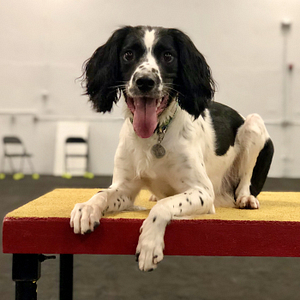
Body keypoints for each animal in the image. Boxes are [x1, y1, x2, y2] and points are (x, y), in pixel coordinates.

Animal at [70, 26, 274, 272]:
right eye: (128, 54)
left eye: (168, 56)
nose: (145, 81)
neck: (155, 135)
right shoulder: (124, 189)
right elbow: (102, 193)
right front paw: (87, 208)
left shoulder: (203, 192)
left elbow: (165, 204)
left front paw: (149, 244)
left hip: (253, 124)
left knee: (245, 180)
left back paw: (245, 198)